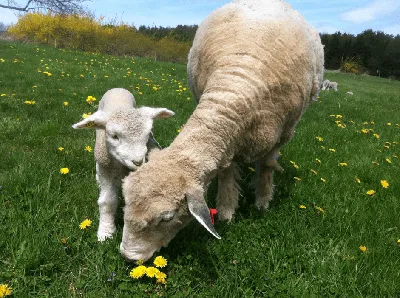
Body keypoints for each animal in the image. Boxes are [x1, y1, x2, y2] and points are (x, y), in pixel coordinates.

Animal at [71, 87, 173, 241]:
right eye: (114, 136)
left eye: (148, 134)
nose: (137, 161)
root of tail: (117, 89)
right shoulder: (106, 170)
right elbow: (107, 202)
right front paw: (106, 232)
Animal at [119, 0, 324, 260]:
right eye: (125, 200)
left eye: (167, 218)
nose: (128, 256)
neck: (234, 86)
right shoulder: (227, 143)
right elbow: (226, 172)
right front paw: (227, 210)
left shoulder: (281, 133)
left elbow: (267, 166)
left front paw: (263, 201)